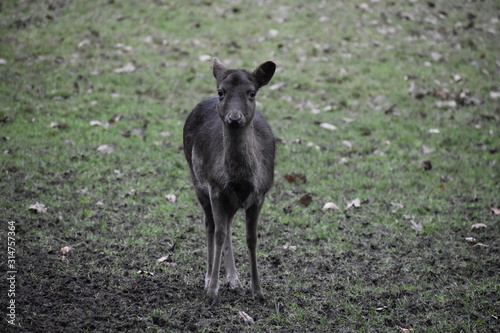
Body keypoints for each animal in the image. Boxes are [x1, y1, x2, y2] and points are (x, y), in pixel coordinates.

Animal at [183, 58, 278, 302]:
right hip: (197, 182)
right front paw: (212, 291)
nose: (234, 118)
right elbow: (218, 233)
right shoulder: (215, 188)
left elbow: (251, 238)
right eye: (221, 91)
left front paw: (258, 291)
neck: (241, 180)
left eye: (252, 92)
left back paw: (234, 280)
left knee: (227, 224)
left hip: (232, 201)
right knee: (211, 224)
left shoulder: (260, 194)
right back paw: (209, 278)